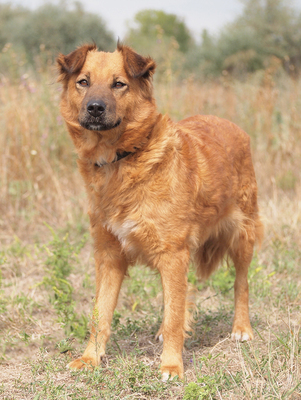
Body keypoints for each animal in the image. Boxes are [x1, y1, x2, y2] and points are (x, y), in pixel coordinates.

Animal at [56, 42, 262, 380]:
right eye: (83, 82)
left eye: (119, 84)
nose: (95, 108)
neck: (121, 159)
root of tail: (230, 124)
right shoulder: (109, 255)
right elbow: (100, 314)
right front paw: (90, 358)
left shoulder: (173, 254)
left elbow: (174, 314)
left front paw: (171, 365)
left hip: (243, 235)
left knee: (240, 284)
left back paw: (241, 328)